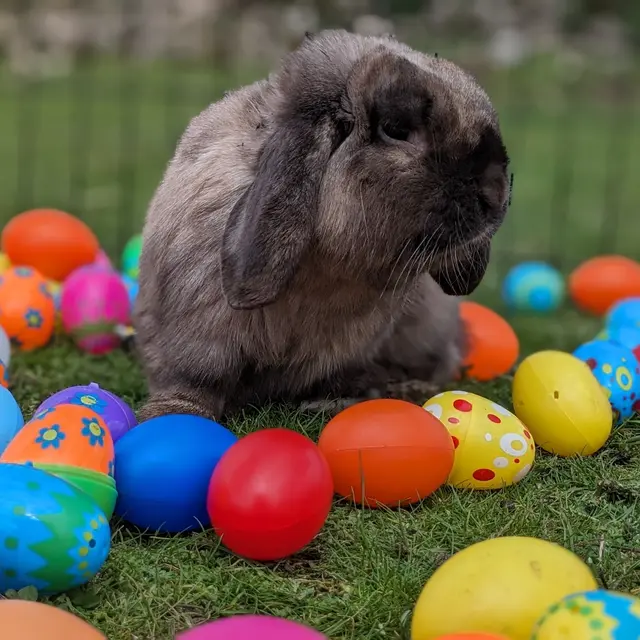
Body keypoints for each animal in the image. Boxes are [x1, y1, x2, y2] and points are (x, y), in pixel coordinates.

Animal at [133, 29, 510, 423]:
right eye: (396, 129)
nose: (494, 194)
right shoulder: (198, 337)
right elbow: (193, 382)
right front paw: (170, 414)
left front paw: (334, 402)